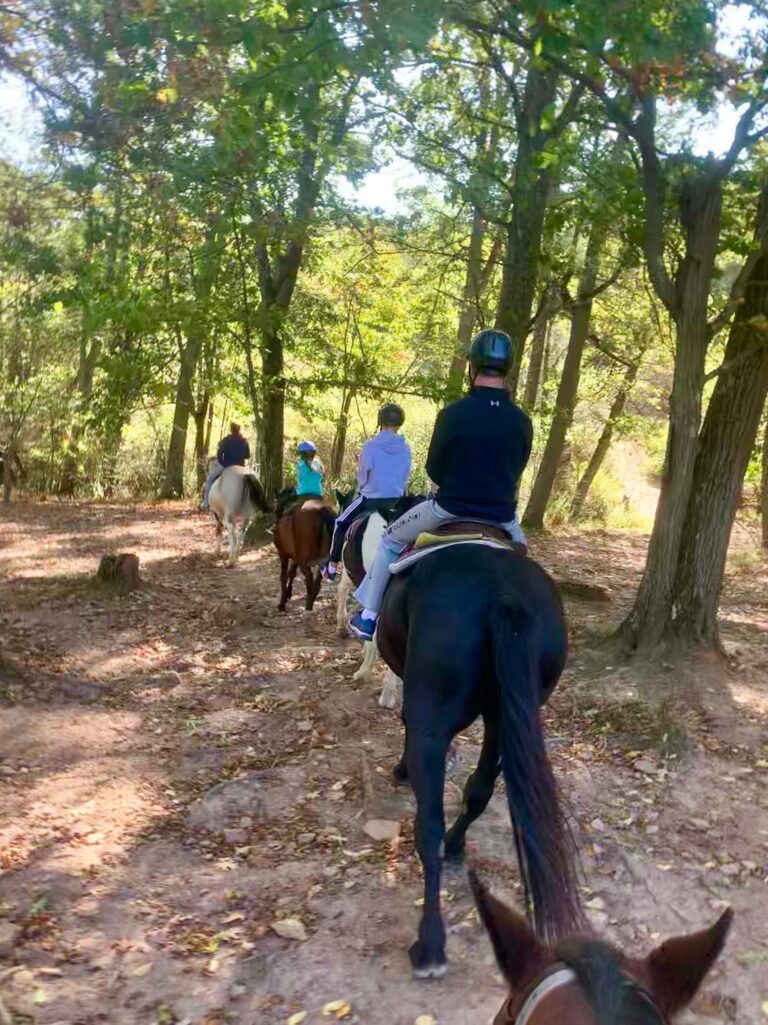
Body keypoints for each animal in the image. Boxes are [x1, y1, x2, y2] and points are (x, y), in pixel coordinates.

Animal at [375, 545, 582, 975]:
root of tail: (504, 594)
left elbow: (403, 717)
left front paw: (401, 769)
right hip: (509, 717)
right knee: (479, 790)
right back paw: (457, 843)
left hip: (435, 722)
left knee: (430, 829)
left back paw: (430, 945)